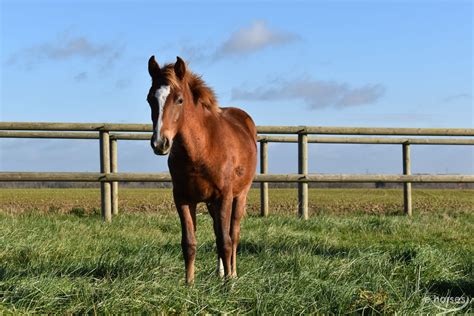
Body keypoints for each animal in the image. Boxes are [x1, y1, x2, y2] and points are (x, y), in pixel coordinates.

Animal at [146, 55, 258, 284]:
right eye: (150, 99)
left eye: (179, 99)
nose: (160, 143)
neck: (202, 149)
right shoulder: (183, 198)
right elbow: (189, 242)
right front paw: (189, 284)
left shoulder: (224, 196)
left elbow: (225, 241)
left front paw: (228, 286)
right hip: (210, 202)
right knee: (218, 230)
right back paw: (220, 272)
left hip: (240, 195)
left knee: (233, 234)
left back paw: (232, 273)